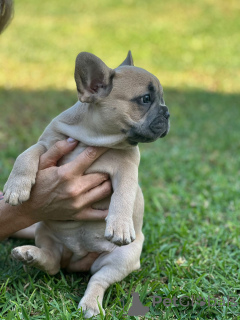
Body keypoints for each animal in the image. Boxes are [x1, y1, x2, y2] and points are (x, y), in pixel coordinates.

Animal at [3, 51, 169, 316]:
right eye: (145, 99)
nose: (167, 112)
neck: (93, 138)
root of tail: (76, 260)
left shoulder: (127, 169)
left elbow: (124, 195)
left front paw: (120, 226)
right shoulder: (47, 144)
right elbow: (26, 154)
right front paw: (15, 188)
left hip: (121, 259)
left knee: (97, 279)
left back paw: (91, 303)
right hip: (45, 232)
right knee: (52, 263)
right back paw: (31, 254)